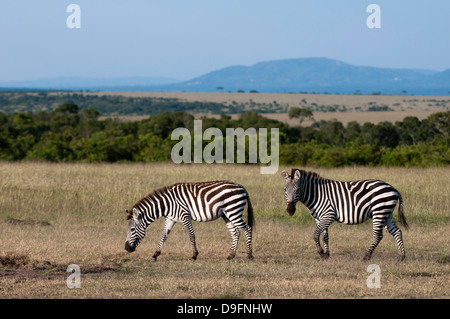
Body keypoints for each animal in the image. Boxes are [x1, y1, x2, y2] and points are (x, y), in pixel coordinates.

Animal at [125, 181, 255, 262]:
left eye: (132, 229)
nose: (126, 248)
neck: (167, 204)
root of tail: (241, 186)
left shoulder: (184, 216)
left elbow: (191, 235)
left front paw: (194, 255)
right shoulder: (170, 218)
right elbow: (163, 236)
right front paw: (155, 255)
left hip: (234, 211)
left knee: (247, 229)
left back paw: (249, 255)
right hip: (227, 214)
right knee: (236, 233)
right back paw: (231, 255)